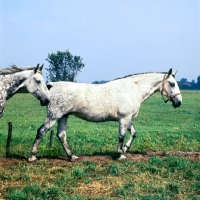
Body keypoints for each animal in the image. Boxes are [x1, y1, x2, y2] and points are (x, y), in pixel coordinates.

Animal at [28, 68, 182, 162]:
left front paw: (125, 149)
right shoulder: (124, 119)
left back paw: (72, 156)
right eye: (172, 84)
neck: (132, 89)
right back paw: (32, 156)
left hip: (63, 116)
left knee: (61, 135)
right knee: (41, 131)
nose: (179, 102)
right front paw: (120, 154)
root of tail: (52, 86)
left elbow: (133, 133)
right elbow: (121, 136)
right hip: (54, 116)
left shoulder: (126, 119)